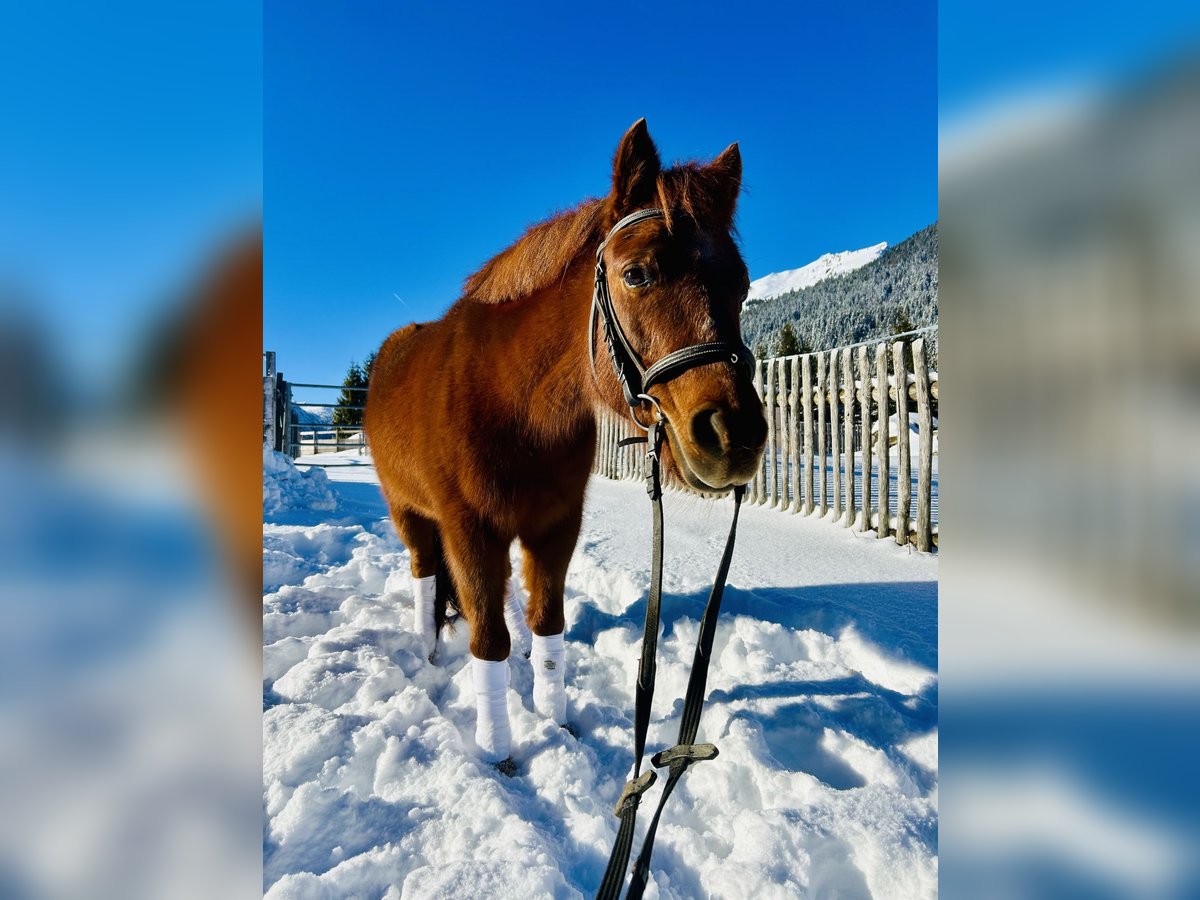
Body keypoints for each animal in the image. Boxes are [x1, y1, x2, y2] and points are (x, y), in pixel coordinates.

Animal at [360, 120, 763, 768]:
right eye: (636, 273)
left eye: (742, 283)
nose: (735, 435)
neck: (514, 407)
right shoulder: (469, 530)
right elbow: (488, 640)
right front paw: (497, 752)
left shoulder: (555, 527)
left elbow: (547, 622)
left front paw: (555, 721)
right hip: (409, 513)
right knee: (425, 577)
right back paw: (427, 650)